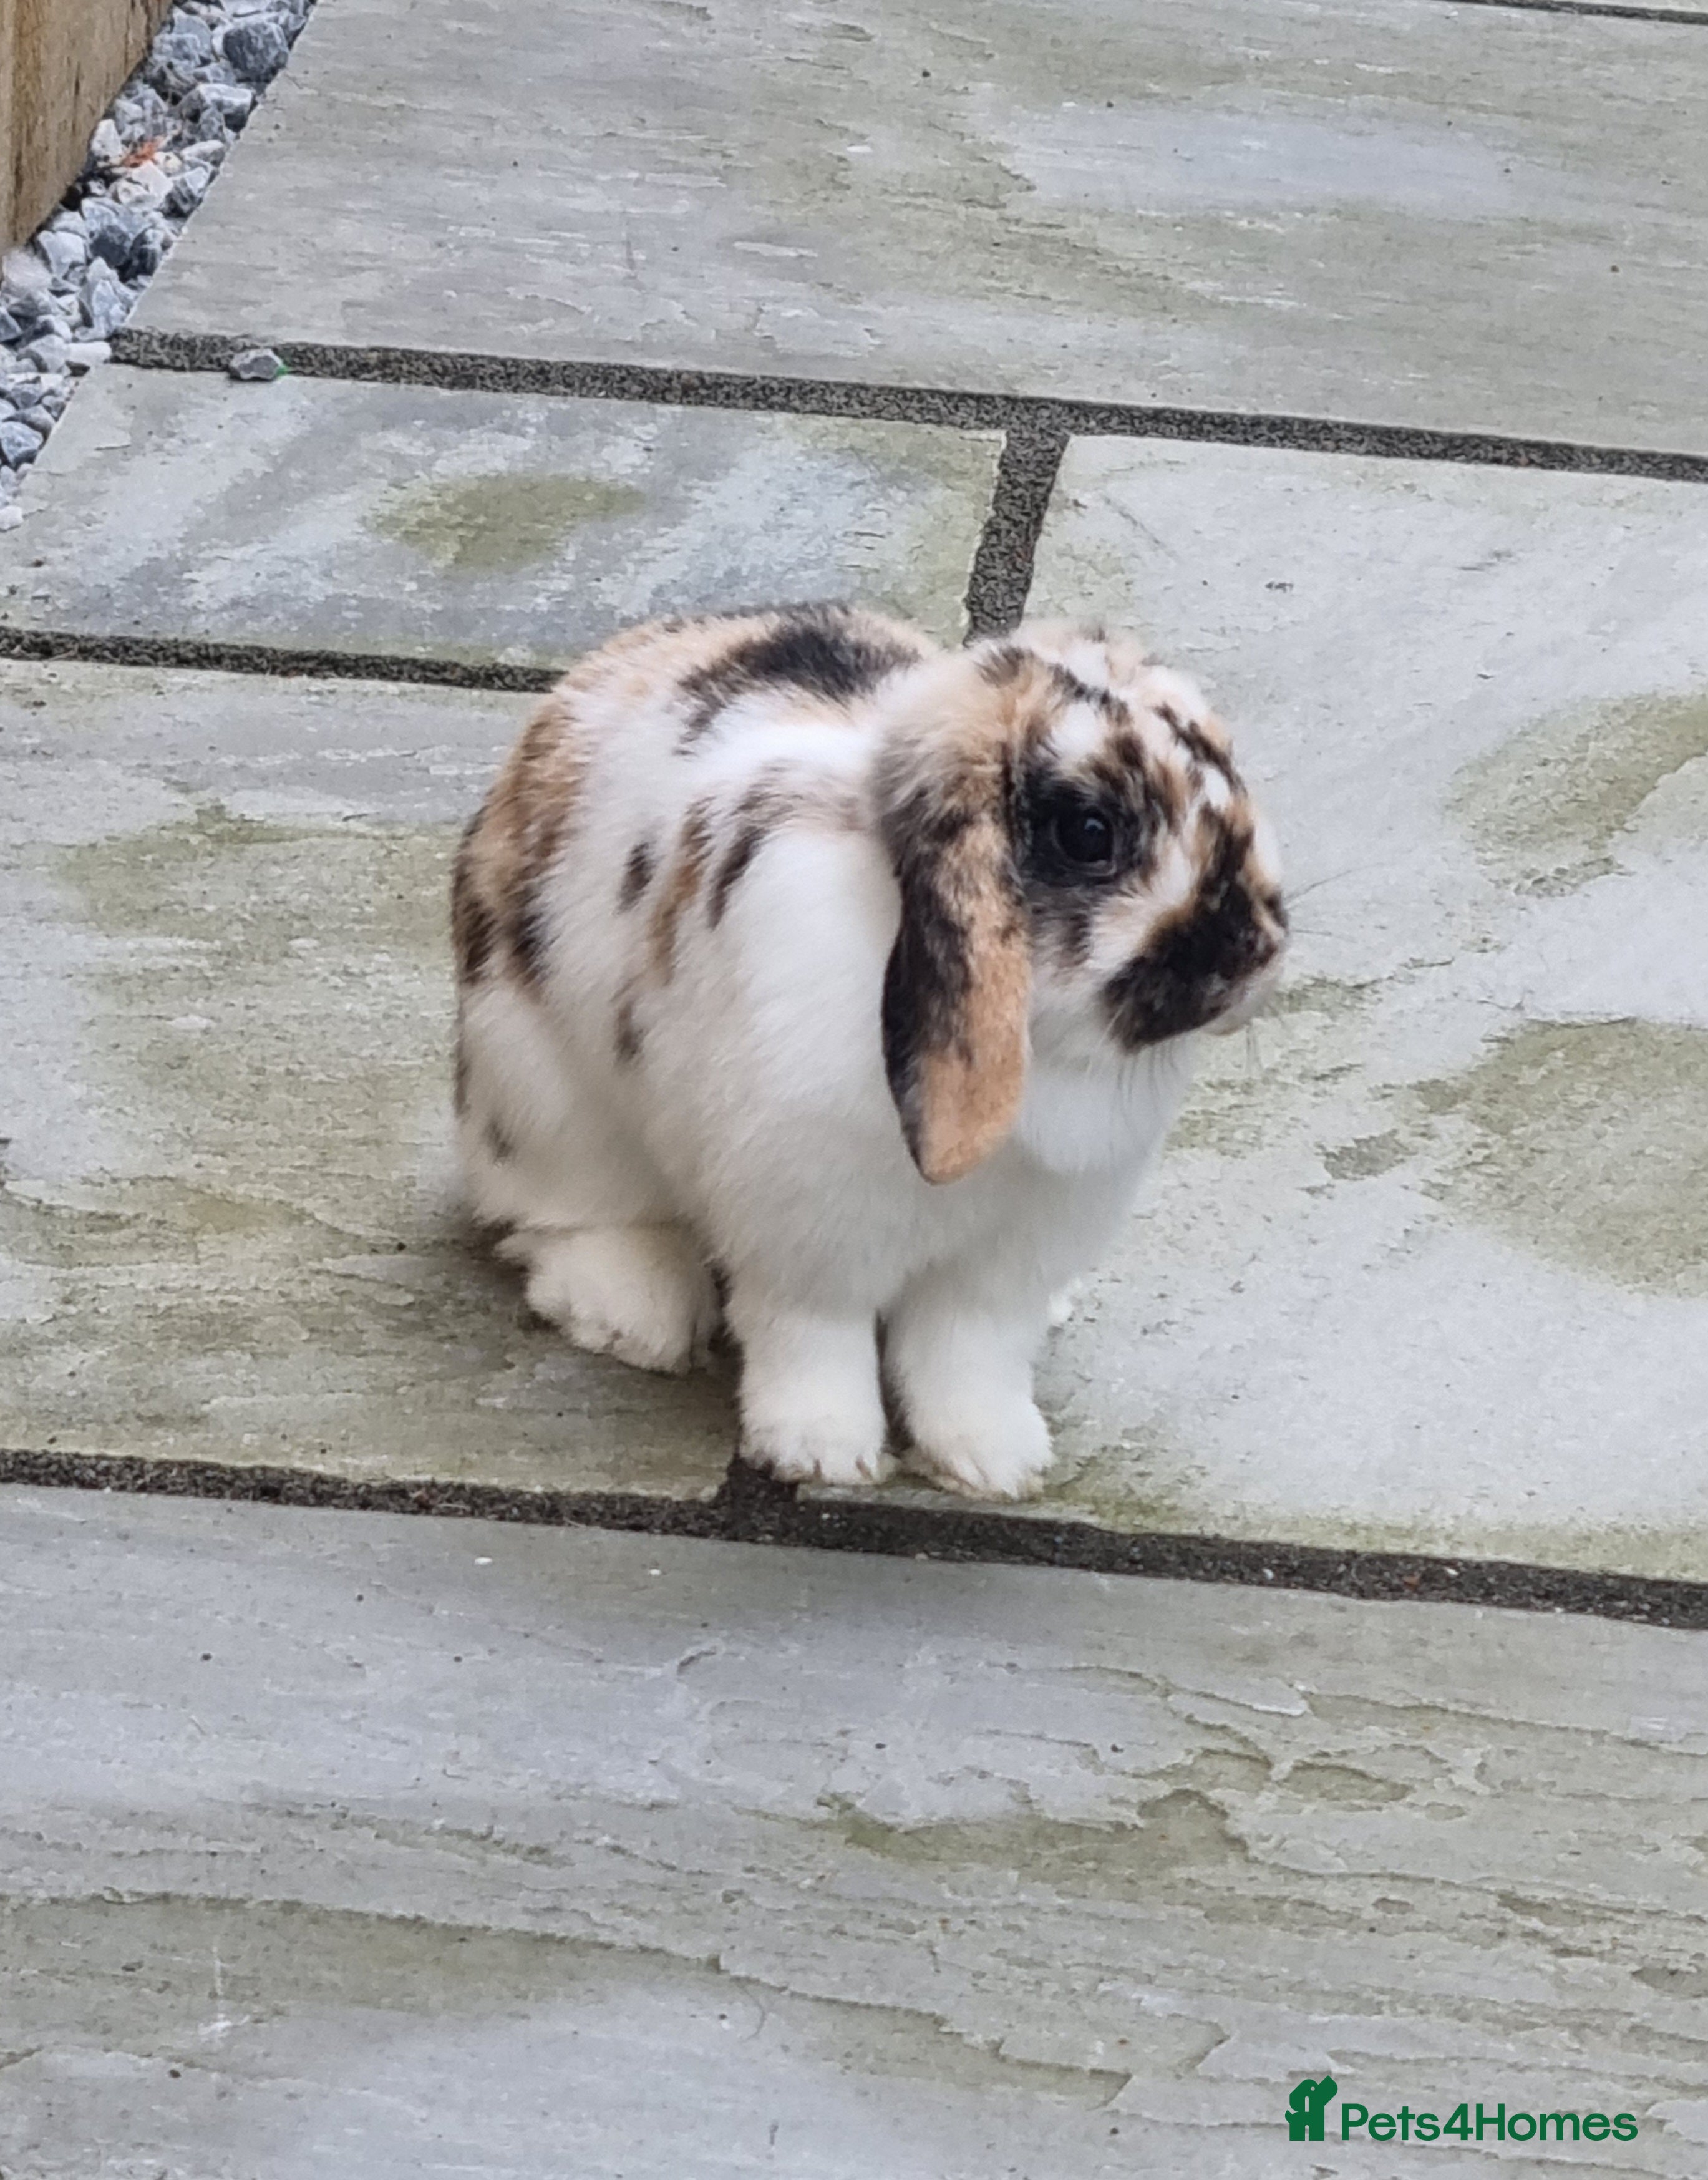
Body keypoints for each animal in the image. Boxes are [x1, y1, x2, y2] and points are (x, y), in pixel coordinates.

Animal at [452, 603, 1286, 1501]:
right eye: (1088, 832)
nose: (1257, 952)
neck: (1043, 1046)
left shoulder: (1007, 1260)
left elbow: (969, 1355)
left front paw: (995, 1462)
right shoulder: (808, 1237)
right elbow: (814, 1341)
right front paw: (823, 1452)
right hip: (541, 1098)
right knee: (555, 1214)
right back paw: (636, 1313)